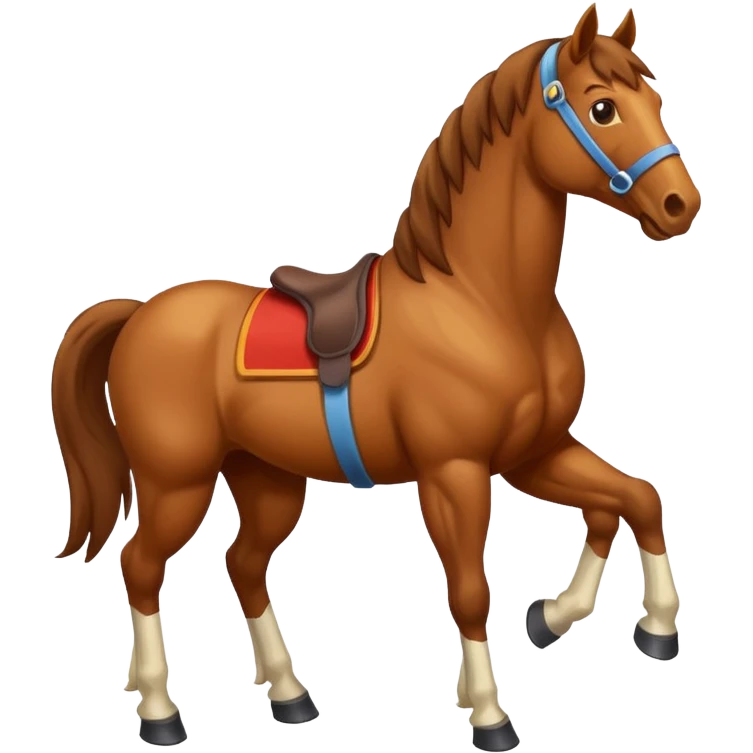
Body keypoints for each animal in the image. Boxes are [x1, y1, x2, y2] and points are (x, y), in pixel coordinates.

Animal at [51, 5, 700, 750]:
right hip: (174, 483)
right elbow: (471, 590)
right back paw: (160, 711)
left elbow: (631, 500)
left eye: (655, 101)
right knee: (141, 566)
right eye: (601, 108)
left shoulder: (533, 453)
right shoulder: (455, 472)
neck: (483, 300)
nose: (680, 205)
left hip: (267, 479)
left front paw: (594, 620)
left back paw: (290, 696)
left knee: (243, 563)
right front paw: (489, 713)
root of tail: (138, 315)